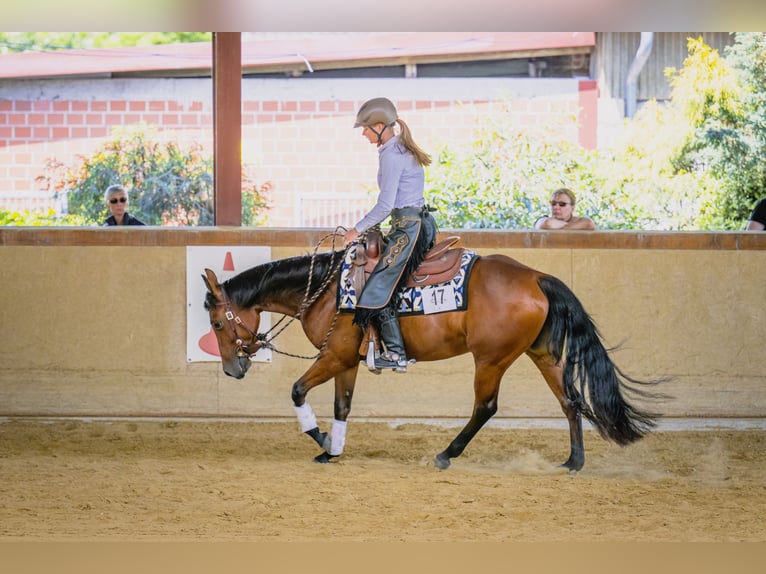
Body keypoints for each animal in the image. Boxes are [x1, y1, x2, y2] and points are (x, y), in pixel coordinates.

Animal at [202, 243, 662, 472]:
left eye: (219, 323)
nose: (232, 368)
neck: (328, 292)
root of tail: (536, 276)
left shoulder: (333, 356)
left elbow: (298, 391)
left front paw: (322, 441)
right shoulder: (346, 362)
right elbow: (342, 407)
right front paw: (333, 449)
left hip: (491, 359)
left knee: (485, 407)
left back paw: (446, 455)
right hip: (543, 354)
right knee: (570, 401)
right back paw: (573, 461)